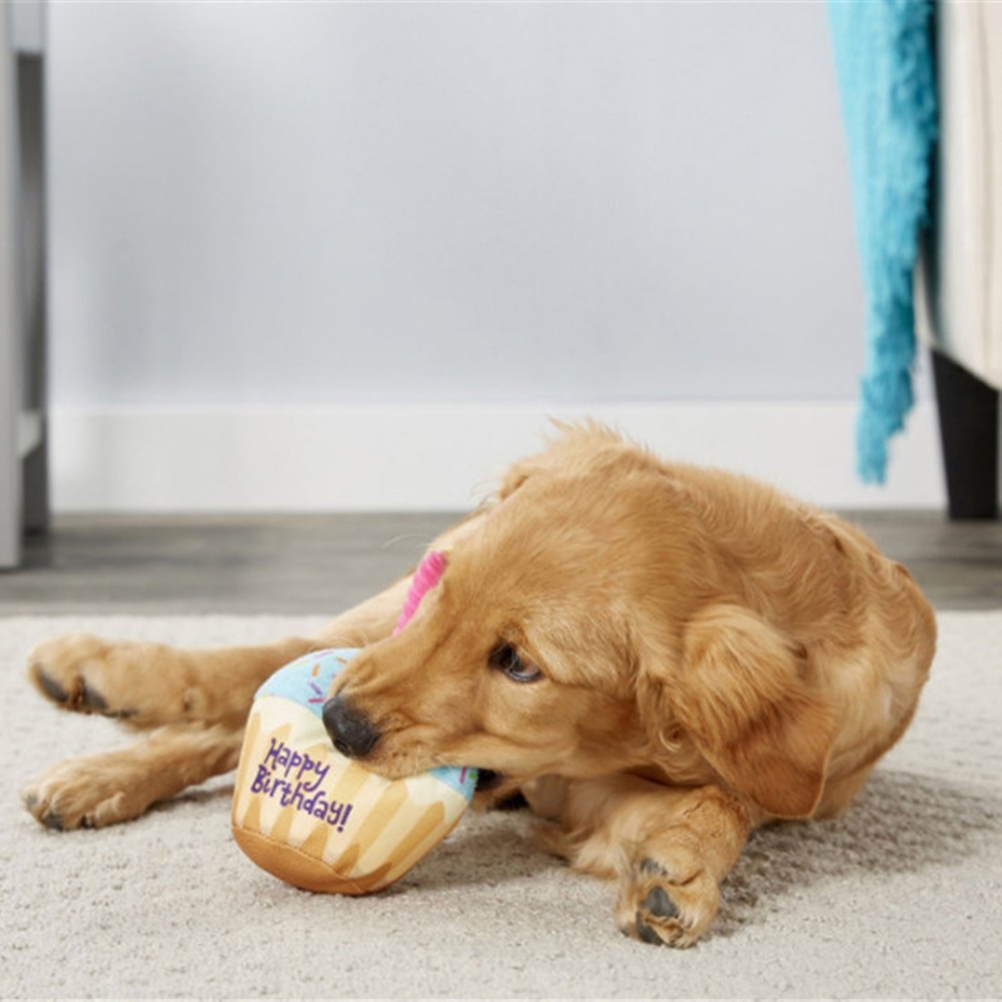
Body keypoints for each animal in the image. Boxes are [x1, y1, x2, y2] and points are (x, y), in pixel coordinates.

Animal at [22, 423, 936, 947]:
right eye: (448, 584)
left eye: (520, 664)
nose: (341, 726)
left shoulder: (599, 798)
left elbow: (726, 800)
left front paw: (681, 868)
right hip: (369, 628)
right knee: (253, 669)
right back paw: (98, 699)